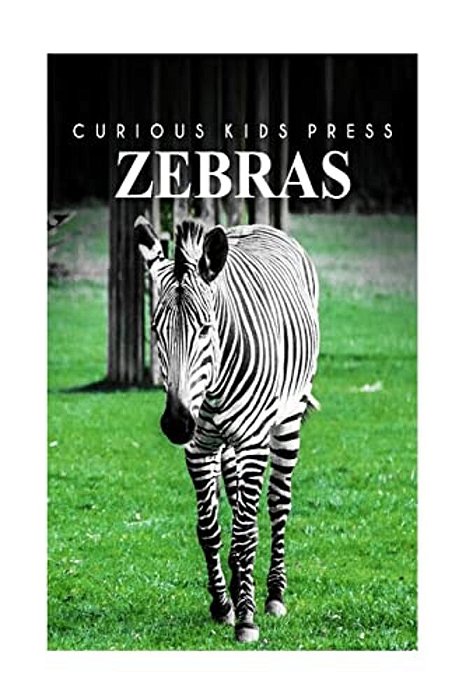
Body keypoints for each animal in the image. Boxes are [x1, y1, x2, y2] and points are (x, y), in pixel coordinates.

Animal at [134, 216, 320, 643]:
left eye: (205, 329)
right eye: (154, 329)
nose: (176, 423)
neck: (213, 389)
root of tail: (261, 225)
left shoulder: (253, 443)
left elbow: (247, 531)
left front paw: (247, 617)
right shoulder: (199, 448)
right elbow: (210, 529)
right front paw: (223, 605)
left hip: (287, 420)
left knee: (277, 503)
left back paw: (273, 594)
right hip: (227, 446)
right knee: (237, 505)